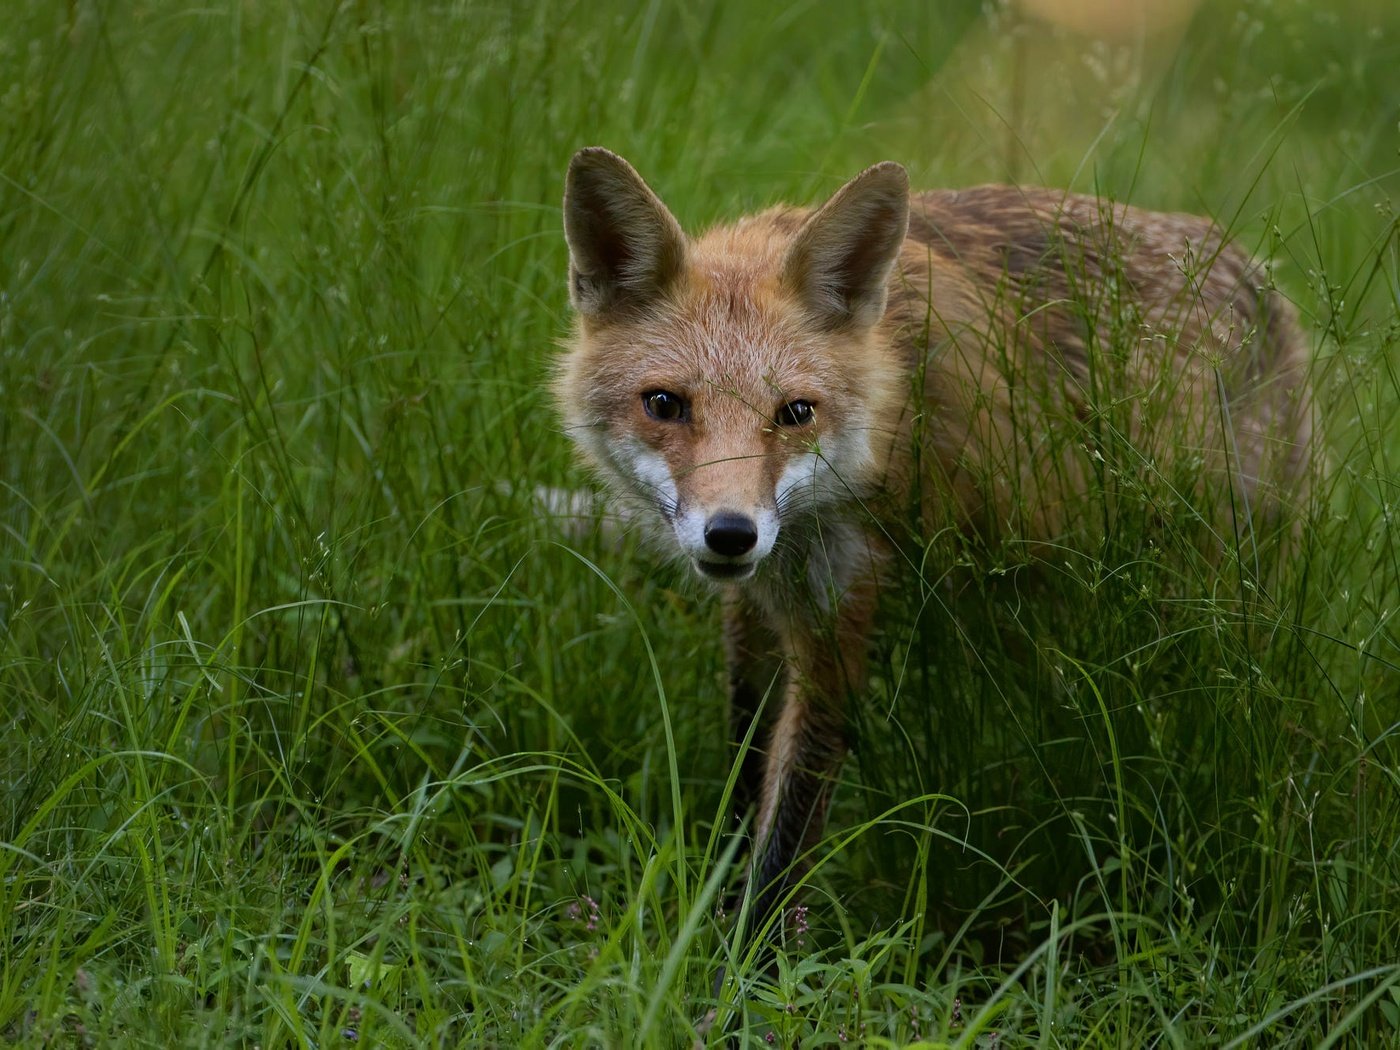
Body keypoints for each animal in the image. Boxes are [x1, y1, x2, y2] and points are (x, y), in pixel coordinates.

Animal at [554, 146, 1310, 963]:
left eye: (796, 413)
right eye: (664, 405)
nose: (731, 533)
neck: (889, 406)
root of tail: (1251, 268)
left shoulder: (839, 617)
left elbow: (787, 829)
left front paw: (742, 963)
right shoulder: (755, 607)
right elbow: (744, 769)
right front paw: (713, 904)